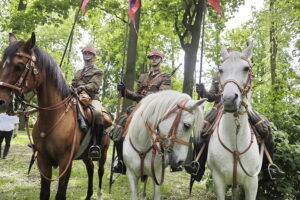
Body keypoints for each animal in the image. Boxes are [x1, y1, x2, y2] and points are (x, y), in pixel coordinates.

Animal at [0, 33, 111, 200]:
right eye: (2, 63)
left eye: (19, 66)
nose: (1, 101)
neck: (53, 117)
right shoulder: (43, 159)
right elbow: (44, 193)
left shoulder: (66, 162)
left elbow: (60, 194)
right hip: (85, 155)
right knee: (90, 168)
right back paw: (88, 195)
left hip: (103, 152)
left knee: (100, 170)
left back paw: (98, 194)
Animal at [207, 43, 264, 200]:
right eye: (221, 70)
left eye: (246, 68)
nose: (228, 99)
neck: (235, 142)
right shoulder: (218, 180)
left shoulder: (252, 183)